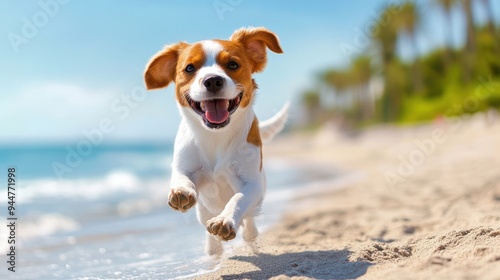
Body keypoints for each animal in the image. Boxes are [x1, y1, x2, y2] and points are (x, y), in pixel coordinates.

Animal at [144, 26, 290, 256]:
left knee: (249, 227)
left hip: (255, 206)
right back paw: (213, 249)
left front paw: (224, 221)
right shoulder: (185, 166)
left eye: (233, 64)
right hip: (203, 211)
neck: (215, 136)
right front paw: (181, 191)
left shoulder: (251, 183)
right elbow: (181, 178)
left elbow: (238, 198)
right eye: (189, 68)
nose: (212, 80)